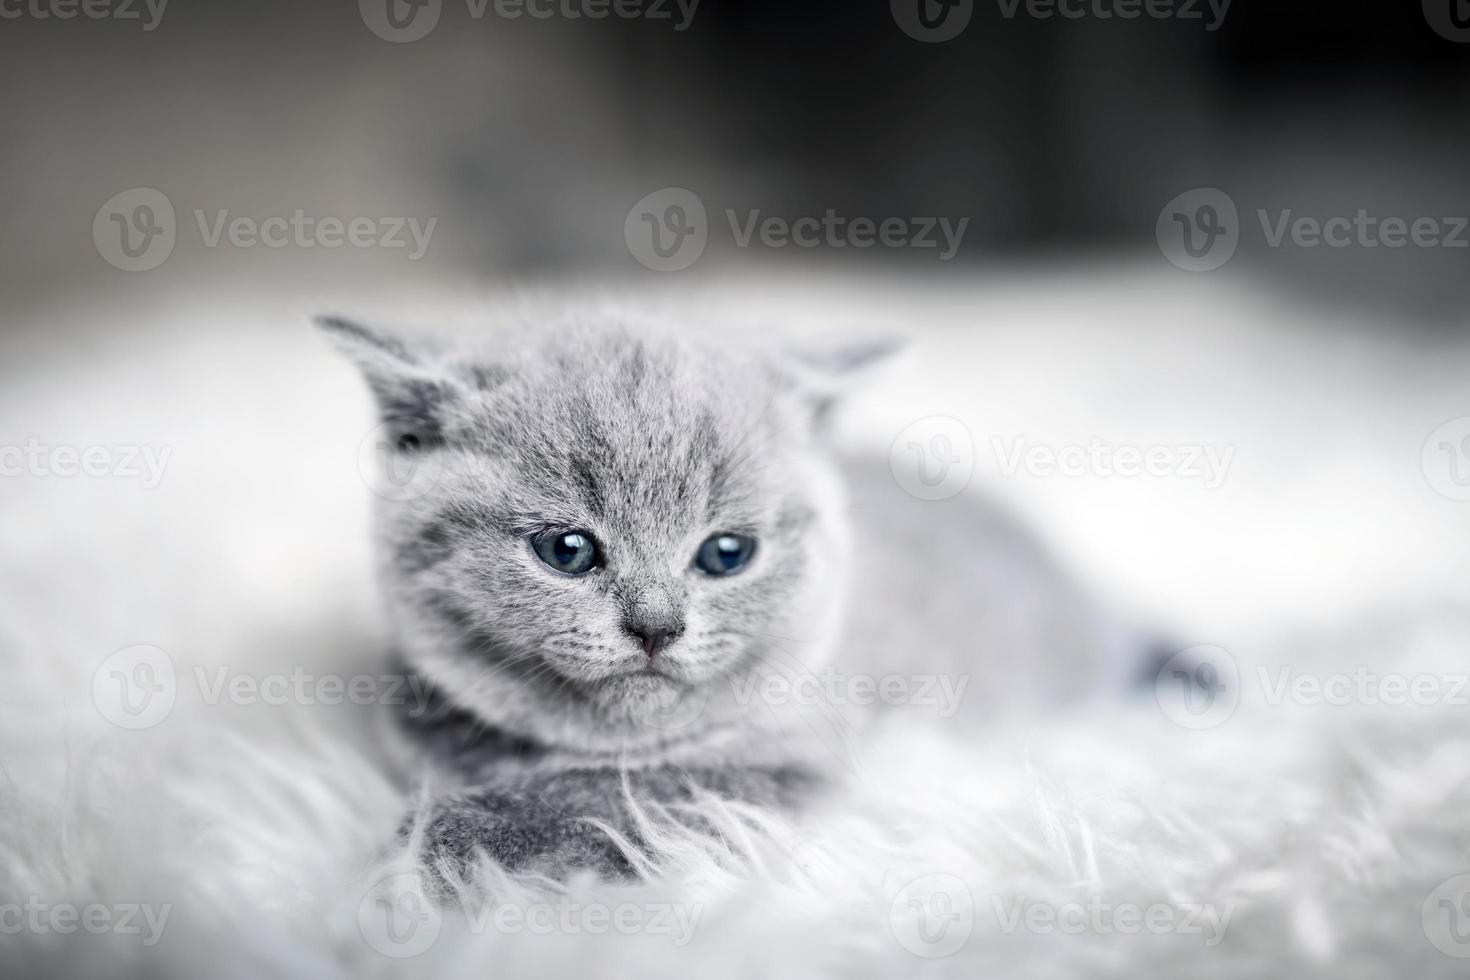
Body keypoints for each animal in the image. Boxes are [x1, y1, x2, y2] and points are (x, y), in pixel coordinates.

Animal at [318, 314, 1123, 881]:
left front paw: (429, 846)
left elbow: (611, 795)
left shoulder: (786, 762)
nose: (655, 625)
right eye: (566, 550)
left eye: (726, 554)